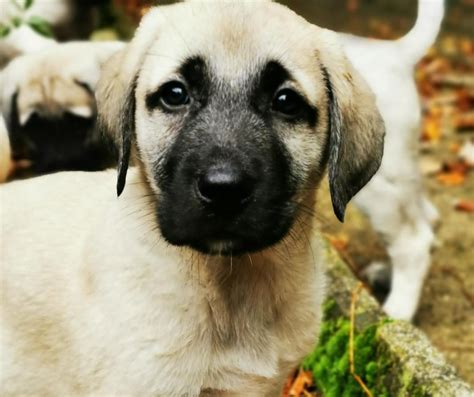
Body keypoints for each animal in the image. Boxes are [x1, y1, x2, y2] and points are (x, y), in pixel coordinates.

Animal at [336, 0, 444, 318]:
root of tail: (396, 54)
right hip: (399, 173)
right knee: (423, 217)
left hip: (379, 187)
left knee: (413, 243)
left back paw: (396, 313)